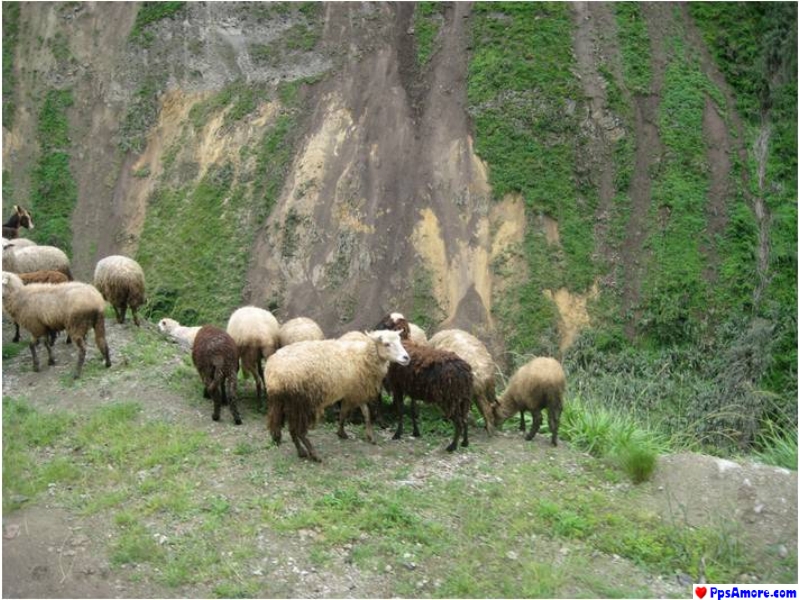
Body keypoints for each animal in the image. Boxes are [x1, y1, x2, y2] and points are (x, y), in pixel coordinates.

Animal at [266, 330, 410, 462]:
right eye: (386, 344)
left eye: (400, 341)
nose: (406, 357)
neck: (363, 355)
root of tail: (273, 374)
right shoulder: (353, 392)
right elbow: (346, 412)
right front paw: (342, 432)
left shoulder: (355, 390)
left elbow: (364, 413)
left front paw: (366, 435)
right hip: (303, 402)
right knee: (299, 430)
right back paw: (314, 454)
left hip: (288, 403)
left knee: (292, 429)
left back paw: (301, 451)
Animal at [381, 317, 473, 452]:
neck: (404, 342)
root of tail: (464, 371)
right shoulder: (412, 389)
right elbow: (413, 411)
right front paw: (416, 432)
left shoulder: (398, 387)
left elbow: (401, 410)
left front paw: (397, 434)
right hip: (462, 398)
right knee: (465, 419)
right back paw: (465, 443)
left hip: (449, 400)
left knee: (459, 422)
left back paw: (452, 447)